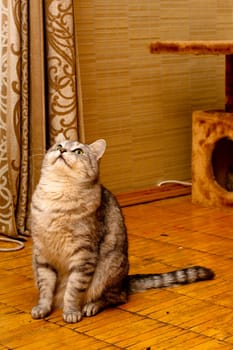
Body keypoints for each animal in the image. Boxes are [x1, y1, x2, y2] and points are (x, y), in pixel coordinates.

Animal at [31, 134, 215, 322]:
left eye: (78, 151)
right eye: (59, 145)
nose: (61, 150)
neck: (57, 195)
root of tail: (125, 280)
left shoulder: (83, 255)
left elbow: (73, 290)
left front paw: (71, 311)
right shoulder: (42, 254)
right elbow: (45, 288)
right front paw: (42, 308)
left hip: (108, 270)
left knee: (117, 297)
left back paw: (92, 306)